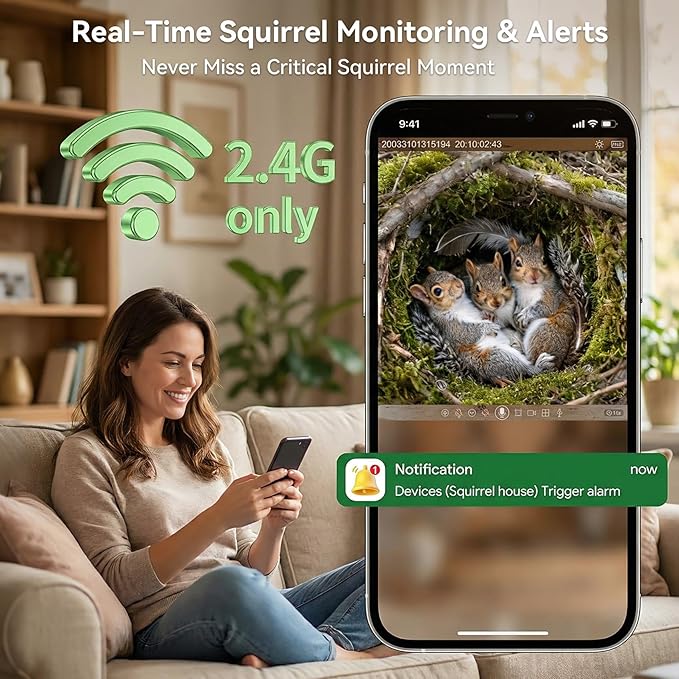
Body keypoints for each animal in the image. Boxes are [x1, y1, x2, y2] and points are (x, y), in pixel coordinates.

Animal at [410, 267, 555, 386]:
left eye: (448, 273)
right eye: (437, 291)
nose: (459, 284)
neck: (460, 305)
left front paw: (488, 315)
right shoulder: (449, 326)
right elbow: (467, 333)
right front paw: (488, 327)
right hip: (497, 357)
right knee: (525, 370)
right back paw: (539, 365)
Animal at [508, 234, 577, 369]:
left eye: (544, 261)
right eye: (517, 263)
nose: (534, 276)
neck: (529, 288)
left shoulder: (551, 297)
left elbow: (544, 307)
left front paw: (524, 315)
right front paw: (516, 315)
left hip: (544, 331)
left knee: (532, 360)